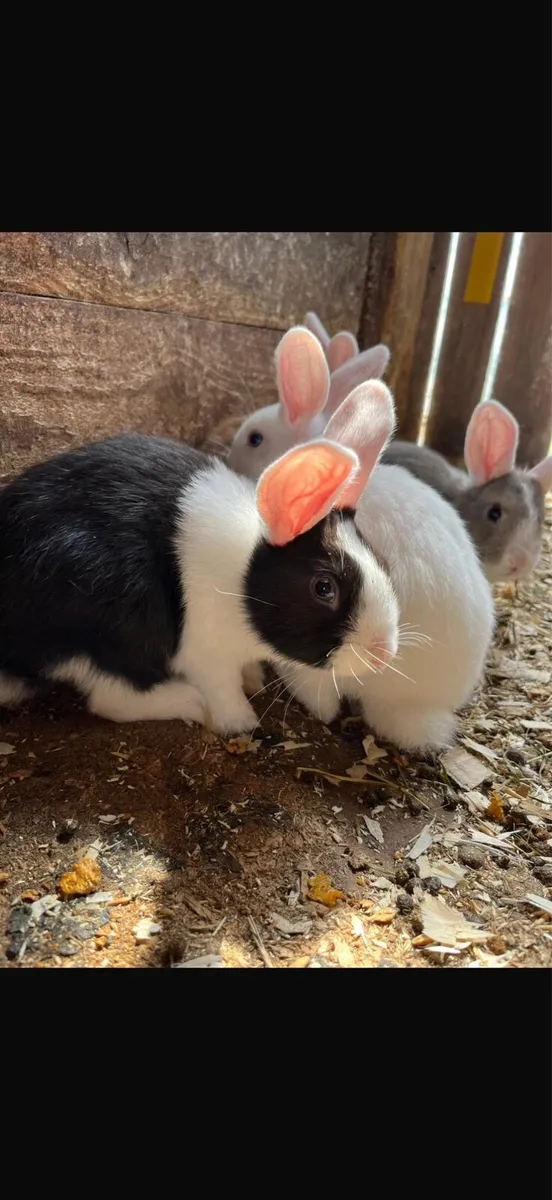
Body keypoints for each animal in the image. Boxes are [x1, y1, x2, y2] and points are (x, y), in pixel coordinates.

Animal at [0, 378, 400, 736]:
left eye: (381, 561)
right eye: (323, 587)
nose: (383, 652)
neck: (241, 580)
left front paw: (254, 679)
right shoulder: (206, 653)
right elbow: (222, 689)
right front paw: (240, 722)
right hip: (113, 620)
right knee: (111, 697)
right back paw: (187, 701)